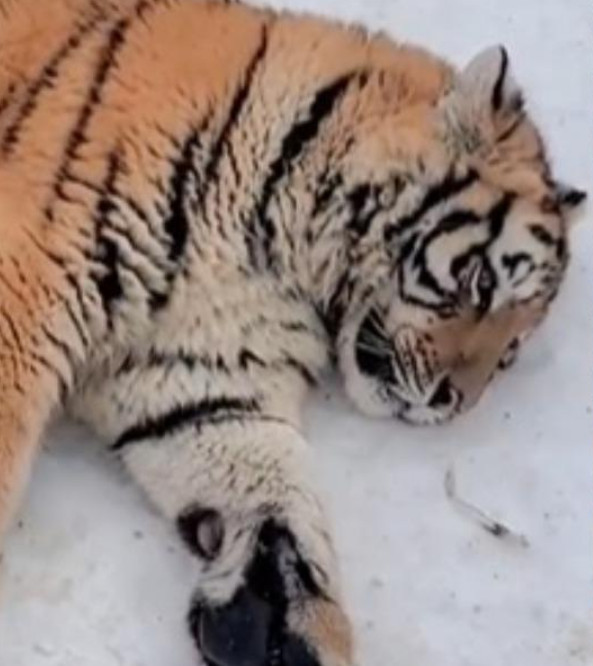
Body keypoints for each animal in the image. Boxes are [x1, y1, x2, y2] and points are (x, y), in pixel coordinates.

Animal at [0, 0, 585, 664]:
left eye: (508, 356)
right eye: (483, 283)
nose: (450, 402)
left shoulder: (197, 367)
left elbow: (268, 474)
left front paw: (276, 622)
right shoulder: (29, 282)